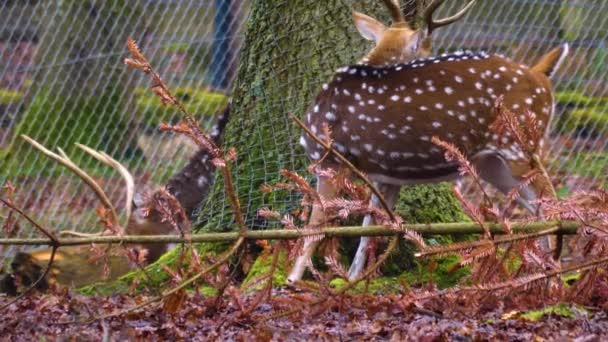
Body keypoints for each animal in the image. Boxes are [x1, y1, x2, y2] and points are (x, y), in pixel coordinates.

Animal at [288, 0, 568, 284]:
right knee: (535, 206)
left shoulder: (331, 158)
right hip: (492, 164)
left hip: (519, 143)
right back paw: (542, 274)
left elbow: (314, 228)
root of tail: (541, 77)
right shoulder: (387, 175)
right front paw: (353, 280)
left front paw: (292, 281)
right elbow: (371, 228)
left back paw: (556, 280)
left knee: (551, 201)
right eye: (425, 49)